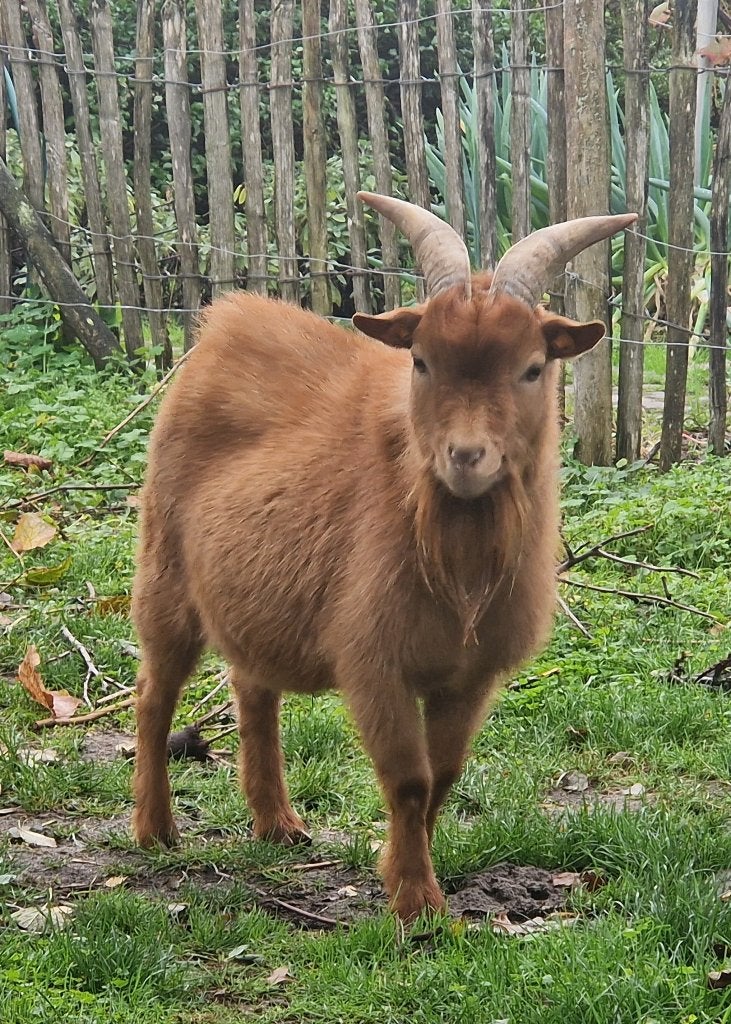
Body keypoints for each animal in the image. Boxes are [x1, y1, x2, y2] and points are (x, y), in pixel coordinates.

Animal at [132, 194, 636, 920]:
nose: (465, 456)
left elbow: (443, 776)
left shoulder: (470, 676)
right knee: (153, 695)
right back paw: (154, 828)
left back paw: (276, 822)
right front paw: (417, 903)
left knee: (253, 690)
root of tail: (226, 321)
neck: (455, 563)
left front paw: (401, 870)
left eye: (533, 367)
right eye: (421, 360)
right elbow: (407, 780)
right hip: (165, 575)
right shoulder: (376, 665)